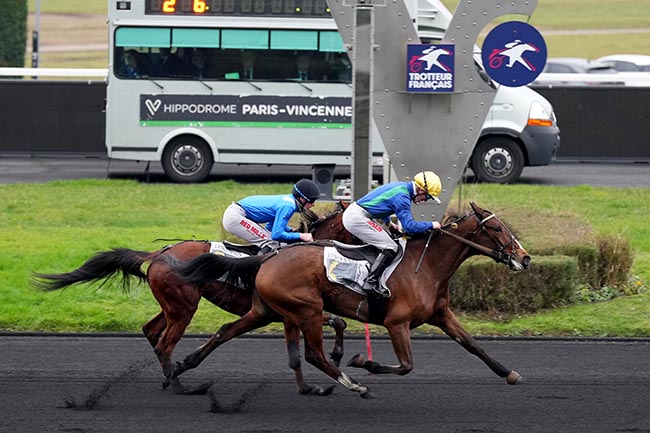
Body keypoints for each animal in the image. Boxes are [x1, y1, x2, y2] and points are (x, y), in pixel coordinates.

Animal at [34, 201, 354, 394]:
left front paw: (326, 368)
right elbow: (326, 329)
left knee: (151, 332)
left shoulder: (289, 313)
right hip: (184, 307)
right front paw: (333, 361)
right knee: (164, 342)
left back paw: (170, 378)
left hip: (172, 306)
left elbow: (326, 331)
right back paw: (180, 385)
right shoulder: (279, 312)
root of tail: (160, 253)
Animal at [165, 202, 528, 398]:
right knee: (315, 355)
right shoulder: (397, 323)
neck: (425, 266)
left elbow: (474, 346)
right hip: (307, 310)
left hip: (267, 310)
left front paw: (509, 373)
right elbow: (406, 366)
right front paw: (363, 361)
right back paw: (355, 385)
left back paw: (181, 367)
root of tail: (267, 258)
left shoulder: (441, 314)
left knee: (225, 331)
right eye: (497, 228)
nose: (524, 259)